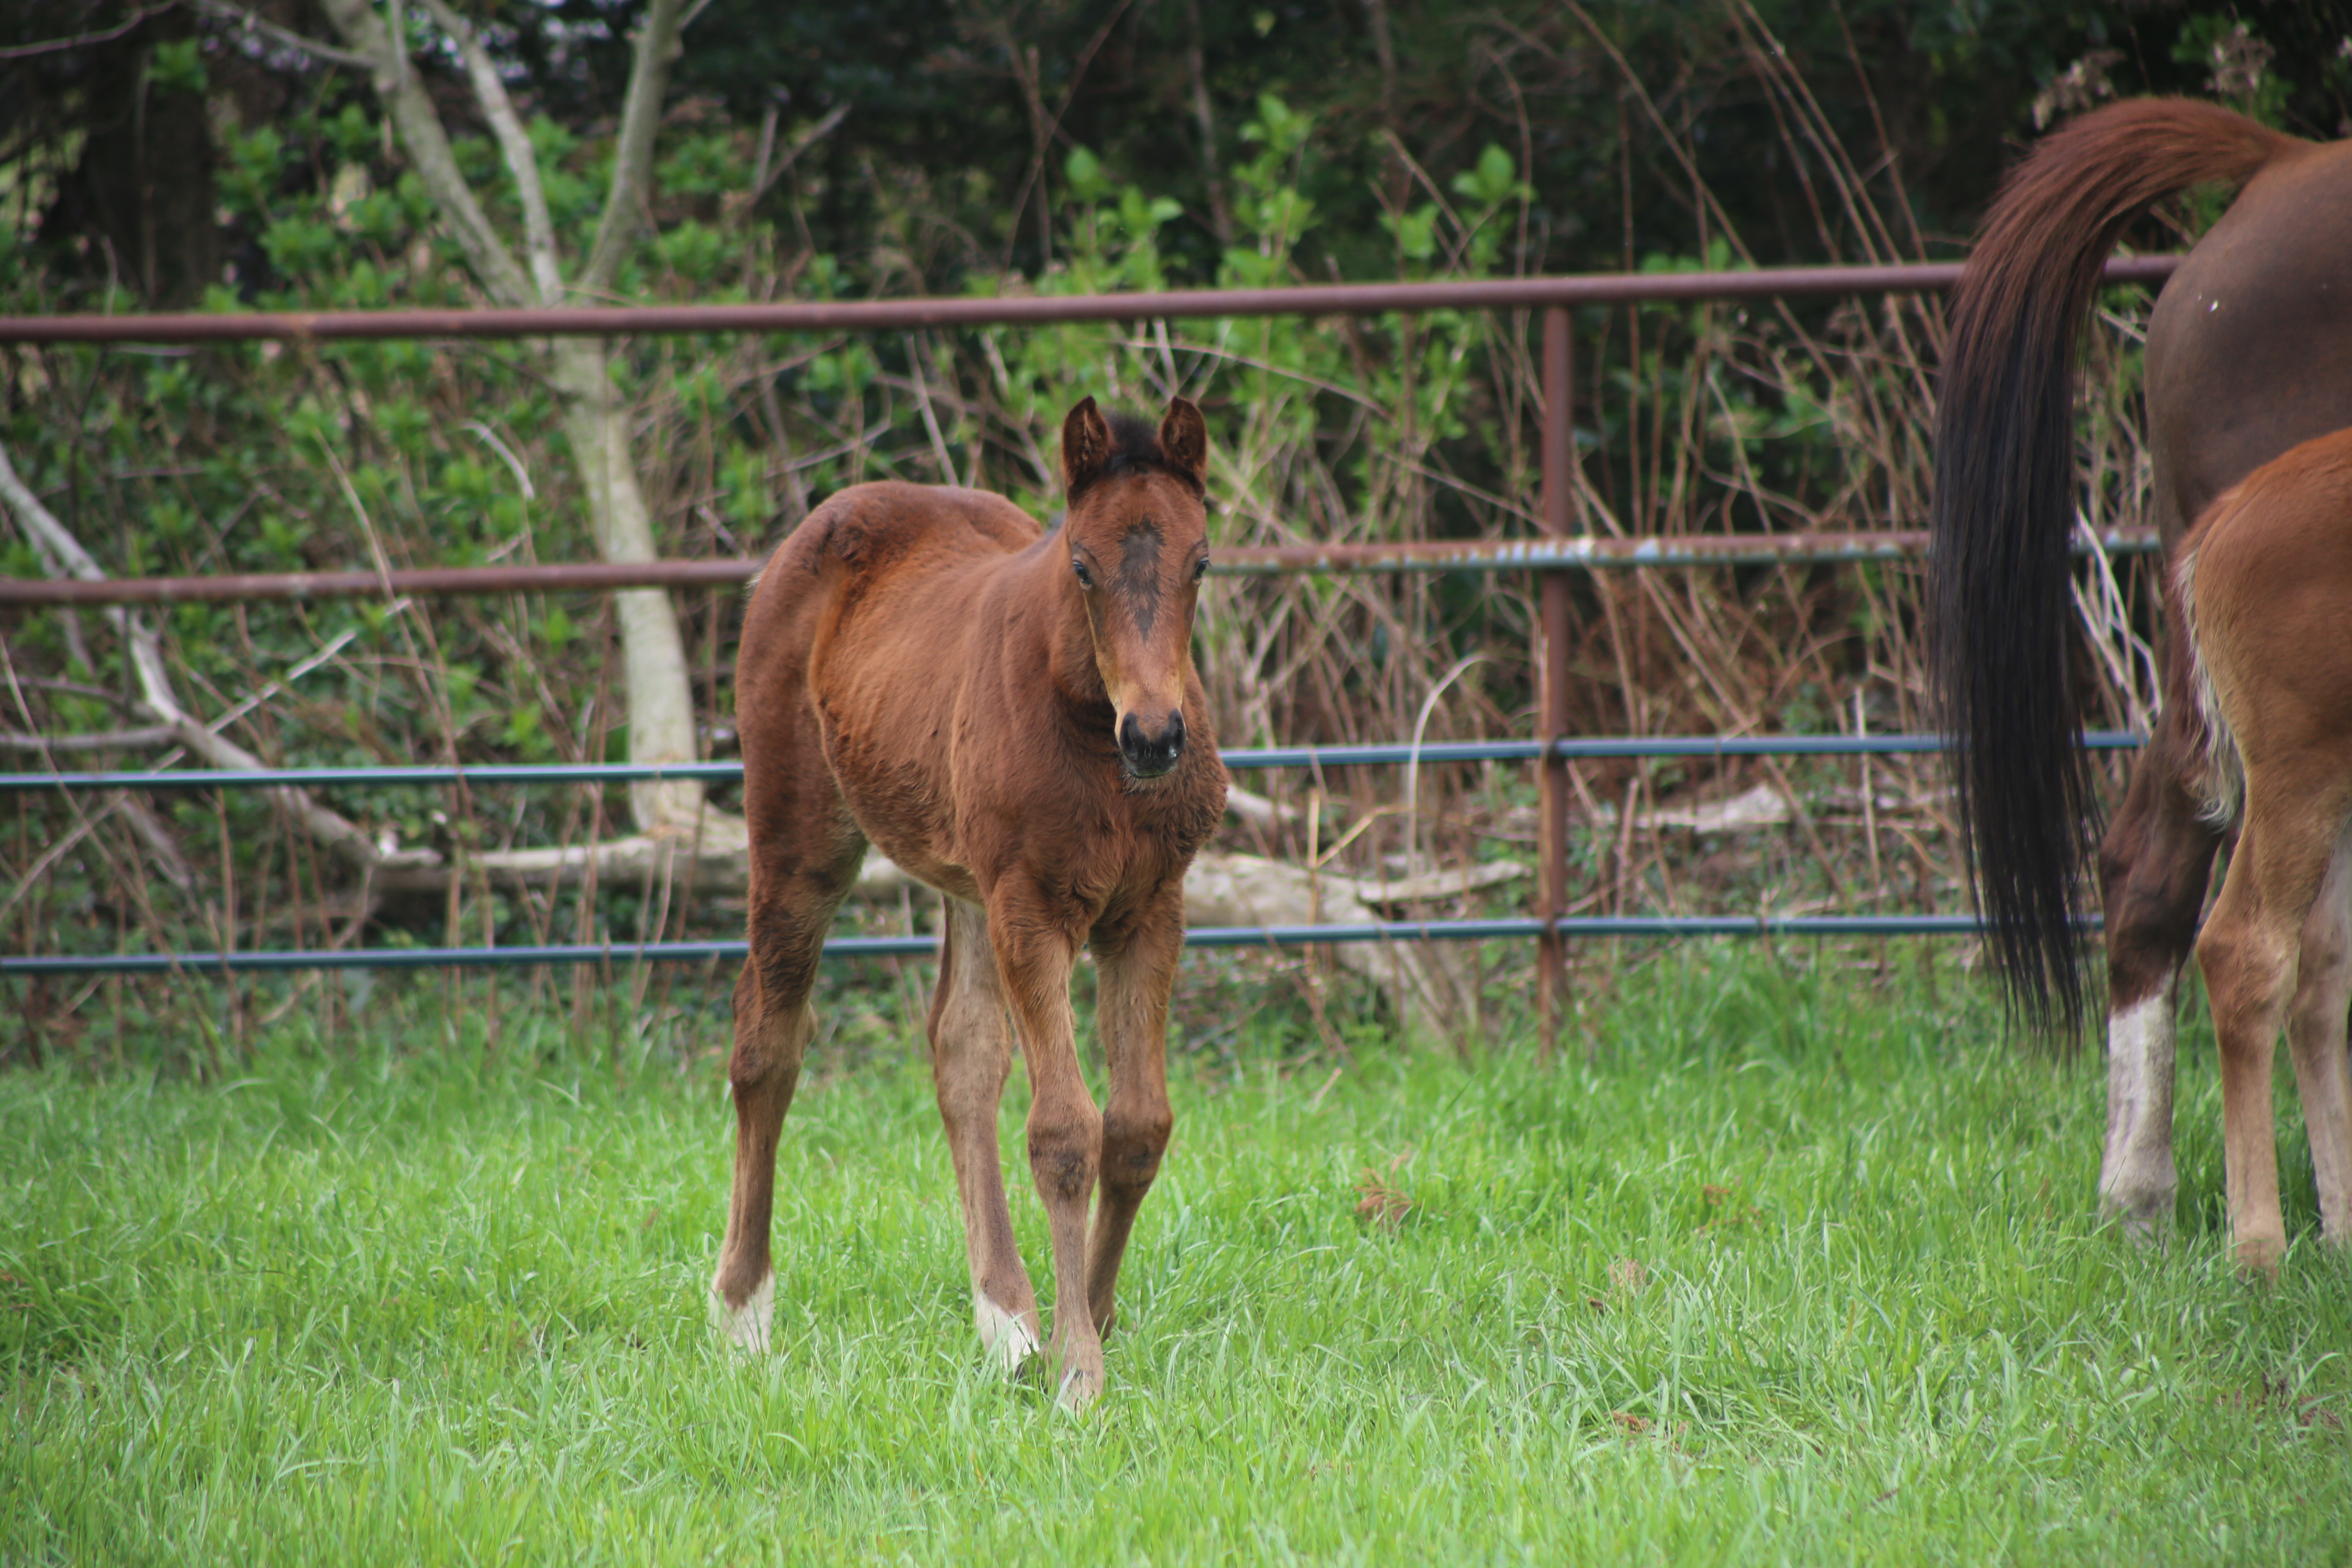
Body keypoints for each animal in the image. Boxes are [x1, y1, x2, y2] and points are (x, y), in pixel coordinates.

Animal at [701, 395, 1232, 1410]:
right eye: (1082, 565)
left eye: (1201, 562)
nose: (1154, 736)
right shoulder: (1036, 907)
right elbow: (1065, 1131)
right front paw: (1079, 1371)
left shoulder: (1149, 911)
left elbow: (1137, 1127)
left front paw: (1080, 1323)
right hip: (802, 844)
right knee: (767, 1042)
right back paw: (743, 1313)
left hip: (972, 889)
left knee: (963, 1051)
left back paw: (1007, 1320)